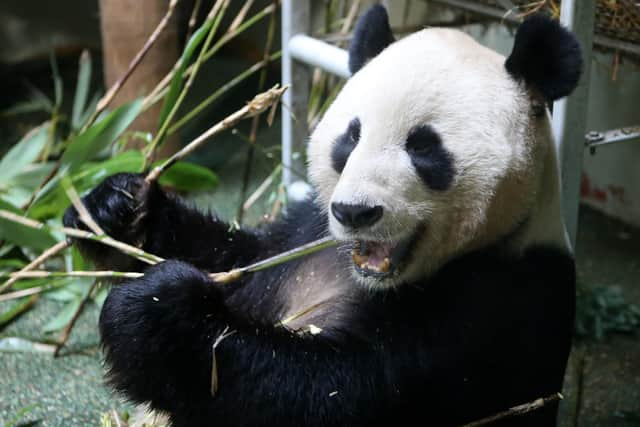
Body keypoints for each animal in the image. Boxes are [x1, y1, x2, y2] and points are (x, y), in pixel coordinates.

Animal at [63, 5, 580, 426]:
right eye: (351, 137)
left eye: (424, 147)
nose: (355, 212)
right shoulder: (303, 233)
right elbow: (238, 256)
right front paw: (116, 209)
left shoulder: (494, 301)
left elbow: (334, 392)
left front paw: (158, 314)